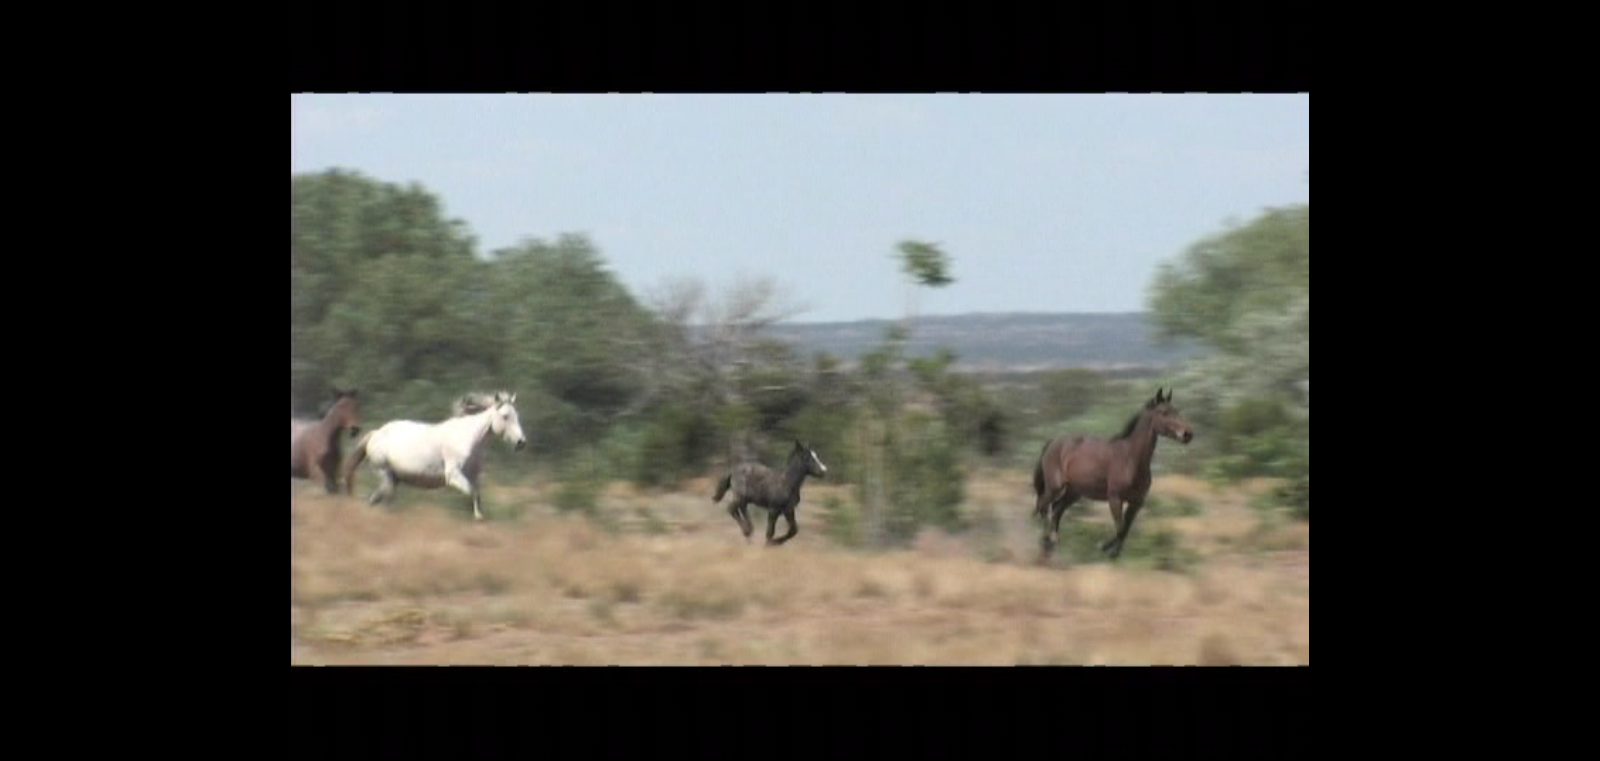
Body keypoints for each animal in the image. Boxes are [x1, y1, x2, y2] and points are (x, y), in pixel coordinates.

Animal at [340, 390, 528, 521]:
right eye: (505, 416)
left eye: (517, 416)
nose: (521, 443)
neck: (467, 437)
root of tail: (376, 433)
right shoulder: (453, 476)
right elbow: (472, 492)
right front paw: (478, 518)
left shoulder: (473, 475)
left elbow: (477, 495)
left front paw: (478, 517)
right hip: (385, 474)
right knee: (383, 502)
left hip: (394, 479)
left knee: (374, 500)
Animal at [1030, 390, 1196, 562]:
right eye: (1164, 412)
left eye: (1177, 410)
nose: (1188, 434)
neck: (1130, 458)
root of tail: (1053, 442)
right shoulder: (1115, 498)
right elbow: (1121, 528)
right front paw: (1103, 546)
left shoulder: (1137, 502)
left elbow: (1125, 530)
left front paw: (1113, 553)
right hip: (1055, 487)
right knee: (1043, 506)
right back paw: (1046, 542)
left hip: (1074, 492)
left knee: (1057, 509)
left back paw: (1053, 542)